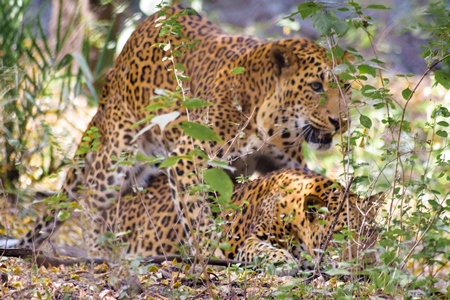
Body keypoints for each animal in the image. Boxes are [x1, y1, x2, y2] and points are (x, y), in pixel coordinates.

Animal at [19, 3, 354, 254]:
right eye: (315, 86)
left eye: (347, 86)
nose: (341, 121)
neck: (272, 123)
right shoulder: (187, 156)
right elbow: (196, 212)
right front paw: (210, 250)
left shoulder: (286, 163)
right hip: (118, 155)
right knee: (90, 200)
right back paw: (97, 252)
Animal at [100, 168, 382, 276]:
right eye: (340, 235)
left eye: (372, 235)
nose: (367, 264)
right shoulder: (245, 240)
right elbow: (263, 249)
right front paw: (285, 262)